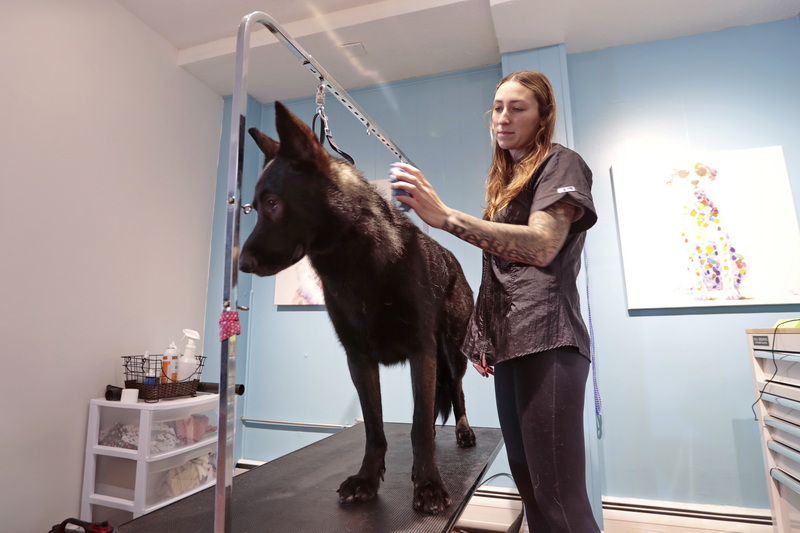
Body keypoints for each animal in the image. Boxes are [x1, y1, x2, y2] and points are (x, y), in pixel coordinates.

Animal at [238, 102, 476, 512]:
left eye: (272, 204)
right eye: (254, 207)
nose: (240, 264)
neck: (358, 263)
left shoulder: (422, 351)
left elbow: (418, 427)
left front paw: (428, 485)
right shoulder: (359, 360)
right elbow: (375, 427)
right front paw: (366, 479)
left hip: (450, 353)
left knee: (455, 394)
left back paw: (463, 431)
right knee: (428, 407)